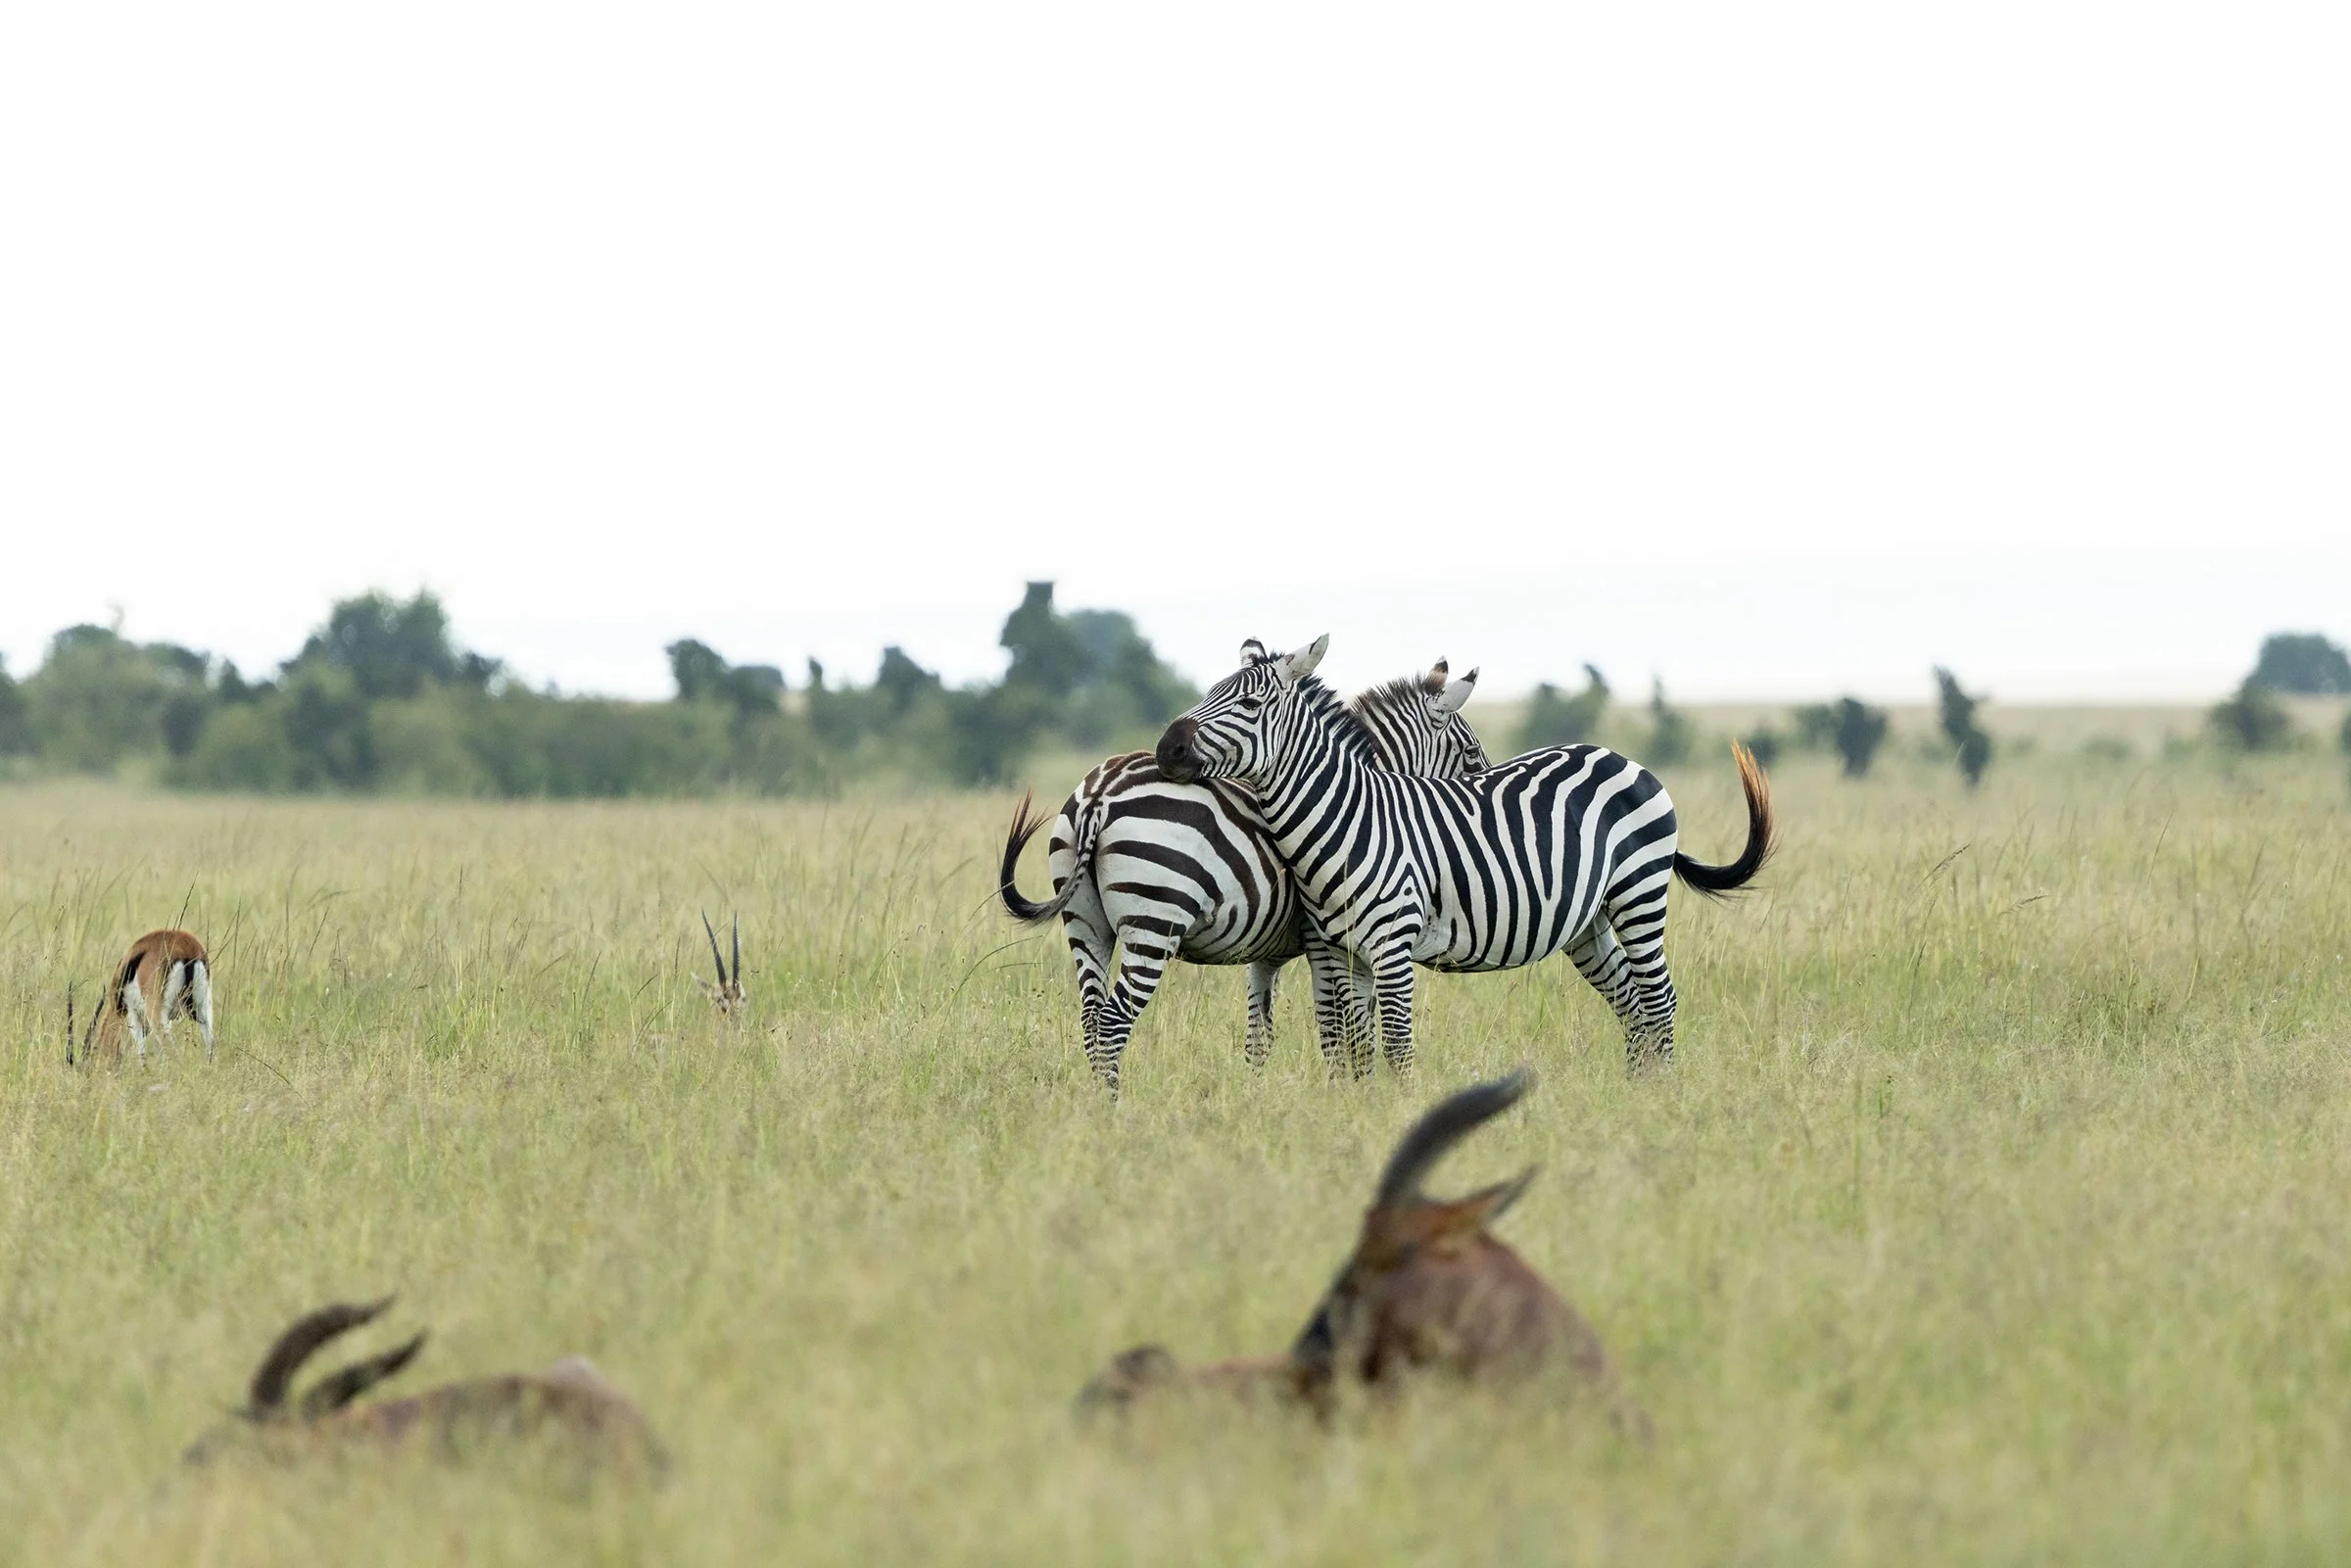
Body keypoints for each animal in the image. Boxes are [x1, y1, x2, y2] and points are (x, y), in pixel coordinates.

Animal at [1000, 644, 1491, 1093]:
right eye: (1471, 754)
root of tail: (1099, 794)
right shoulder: (1323, 941)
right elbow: (1337, 1028)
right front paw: (1344, 1094)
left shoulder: (1264, 955)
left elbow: (1260, 1035)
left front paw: (1257, 1095)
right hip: (1154, 922)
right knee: (1111, 1021)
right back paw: (1113, 1109)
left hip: (1084, 920)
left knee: (1089, 1017)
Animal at [1152, 635, 1773, 1073]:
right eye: (1209, 693)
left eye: (1249, 701)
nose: (1166, 747)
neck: (1351, 816)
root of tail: (1620, 756)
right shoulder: (1338, 950)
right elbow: (1349, 1043)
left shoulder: (1384, 949)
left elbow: (1386, 1045)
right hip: (1587, 922)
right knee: (1633, 1003)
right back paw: (1634, 1093)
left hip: (1638, 894)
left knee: (1659, 999)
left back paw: (1659, 1095)